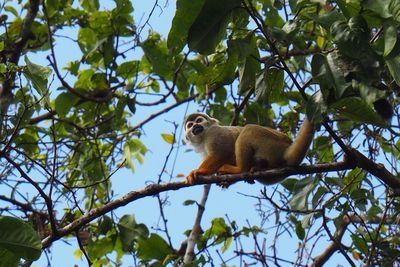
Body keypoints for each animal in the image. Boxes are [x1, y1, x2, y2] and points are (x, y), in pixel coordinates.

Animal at [184, 112, 316, 185]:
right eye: (190, 125)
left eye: (199, 120)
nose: (195, 126)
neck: (203, 138)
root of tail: (286, 149)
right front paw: (227, 181)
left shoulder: (214, 132)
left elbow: (222, 152)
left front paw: (200, 171)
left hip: (272, 145)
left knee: (249, 129)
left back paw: (240, 170)